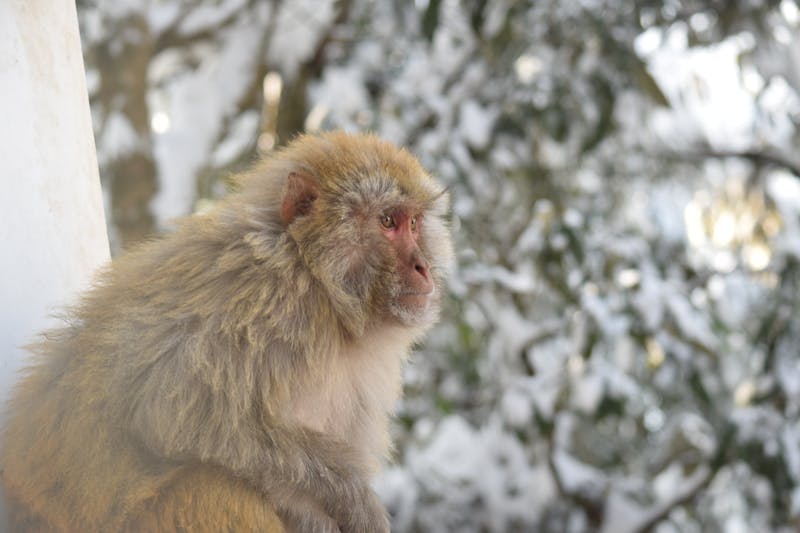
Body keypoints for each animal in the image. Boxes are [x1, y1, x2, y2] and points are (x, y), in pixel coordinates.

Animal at [1, 131, 453, 532]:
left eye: (414, 223)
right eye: (388, 221)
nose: (422, 268)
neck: (320, 288)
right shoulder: (255, 298)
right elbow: (166, 407)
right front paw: (347, 499)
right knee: (214, 490)